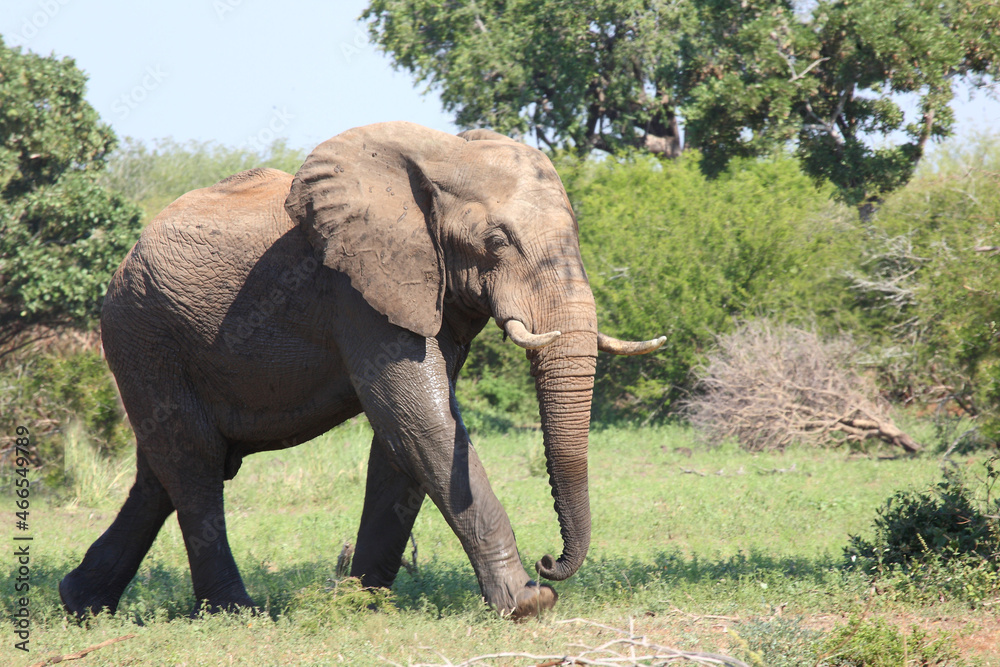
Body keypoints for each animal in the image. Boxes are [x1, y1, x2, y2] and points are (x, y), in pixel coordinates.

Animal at [60, 120, 664, 620]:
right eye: (496, 241)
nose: (548, 562)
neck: (443, 154)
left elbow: (405, 440)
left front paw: (361, 601)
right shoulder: (356, 288)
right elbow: (420, 422)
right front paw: (527, 605)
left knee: (160, 471)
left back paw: (82, 603)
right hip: (142, 332)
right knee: (195, 464)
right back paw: (235, 613)